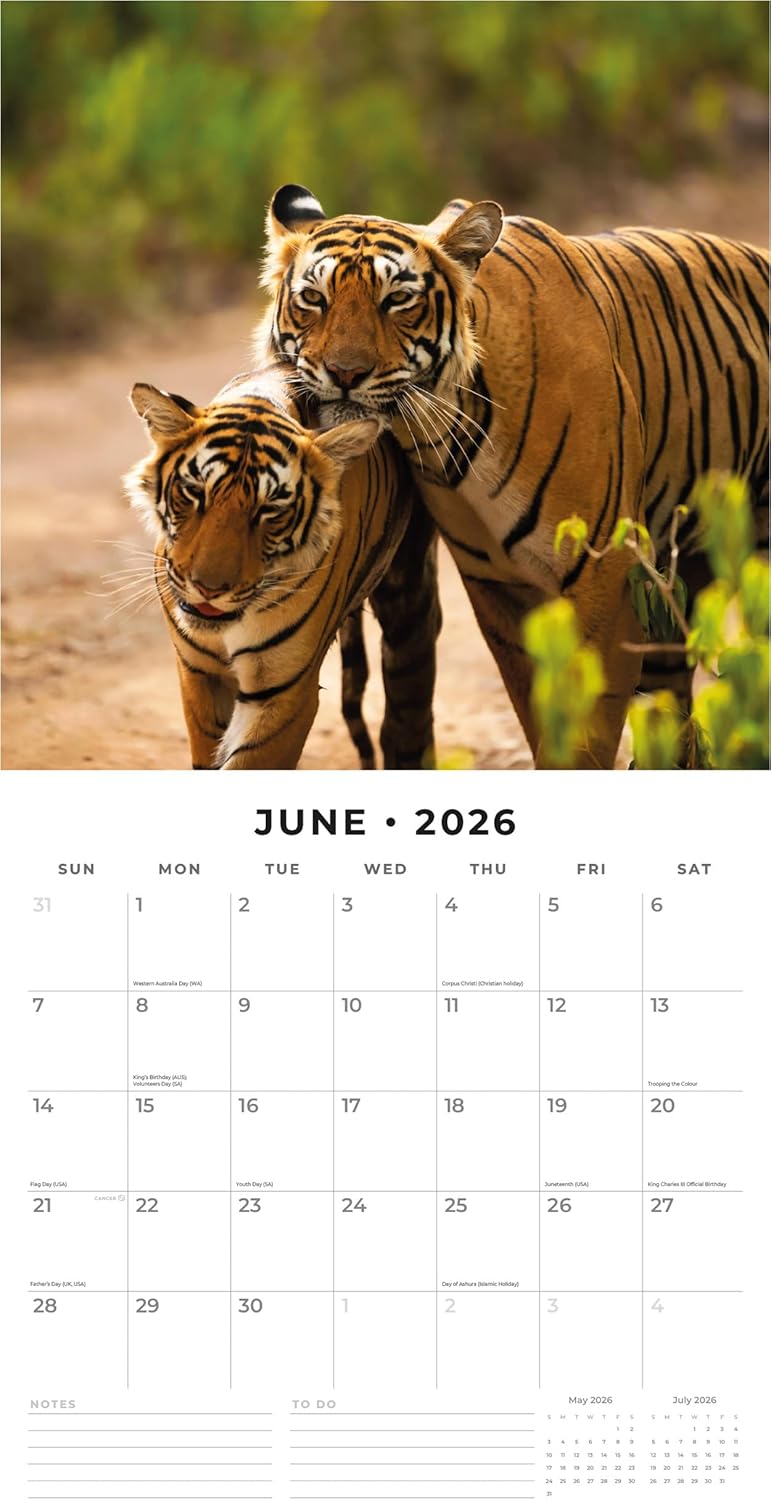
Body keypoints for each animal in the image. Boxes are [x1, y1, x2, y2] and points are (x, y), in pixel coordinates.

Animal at [258, 183, 769, 768]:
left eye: (398, 300)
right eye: (314, 299)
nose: (345, 374)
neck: (444, 432)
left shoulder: (606, 576)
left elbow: (585, 729)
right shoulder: (501, 585)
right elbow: (539, 713)